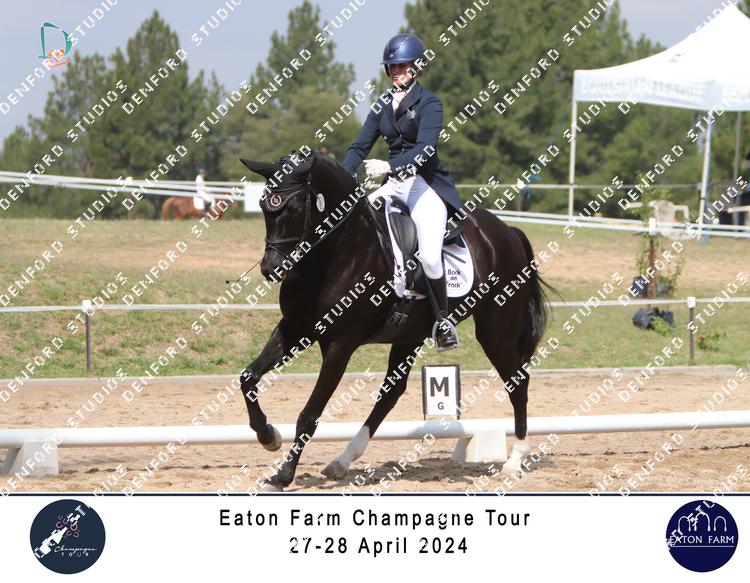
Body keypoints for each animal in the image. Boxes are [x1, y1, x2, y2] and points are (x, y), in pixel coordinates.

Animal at [238, 149, 553, 490]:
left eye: (295, 208)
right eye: (263, 206)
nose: (271, 269)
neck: (336, 254)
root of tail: (508, 231)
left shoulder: (339, 345)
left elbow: (309, 414)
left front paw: (282, 475)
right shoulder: (294, 329)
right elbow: (248, 378)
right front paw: (268, 435)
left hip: (496, 329)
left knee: (517, 381)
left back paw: (514, 461)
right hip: (411, 335)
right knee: (391, 393)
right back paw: (341, 461)